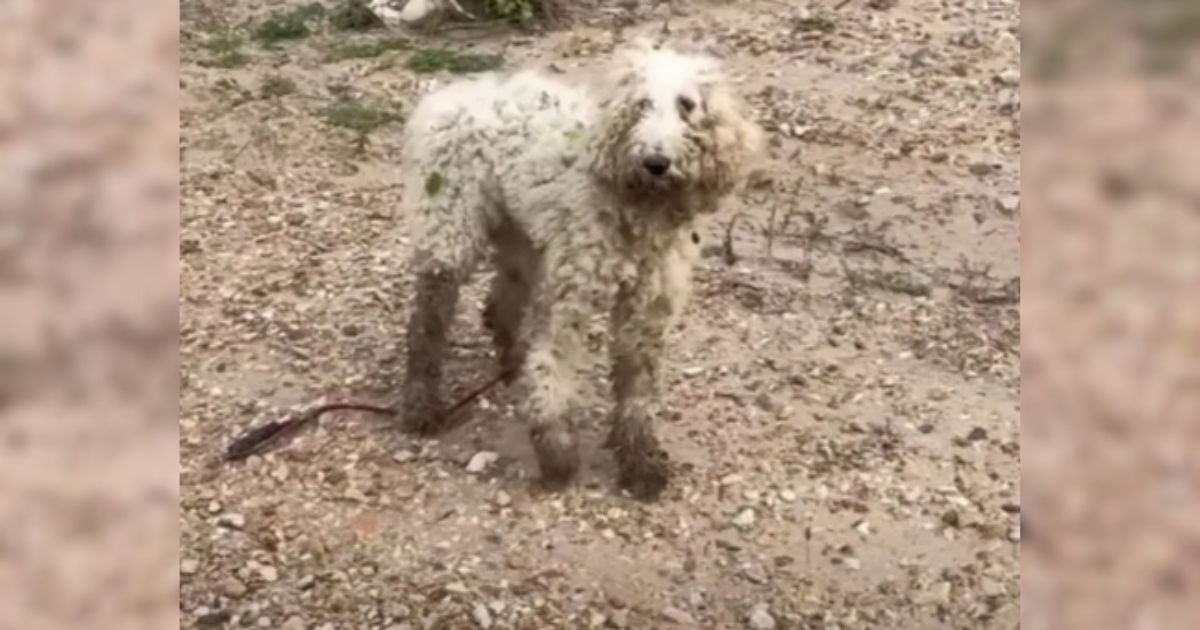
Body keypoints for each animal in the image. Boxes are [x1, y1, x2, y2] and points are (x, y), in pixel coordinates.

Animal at [398, 40, 763, 501]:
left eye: (687, 106)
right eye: (642, 104)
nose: (656, 161)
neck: (637, 207)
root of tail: (448, 95)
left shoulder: (646, 309)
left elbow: (638, 392)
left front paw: (640, 464)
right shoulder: (570, 297)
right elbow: (552, 368)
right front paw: (556, 455)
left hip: (523, 243)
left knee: (499, 306)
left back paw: (511, 364)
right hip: (450, 228)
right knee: (426, 326)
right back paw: (421, 405)